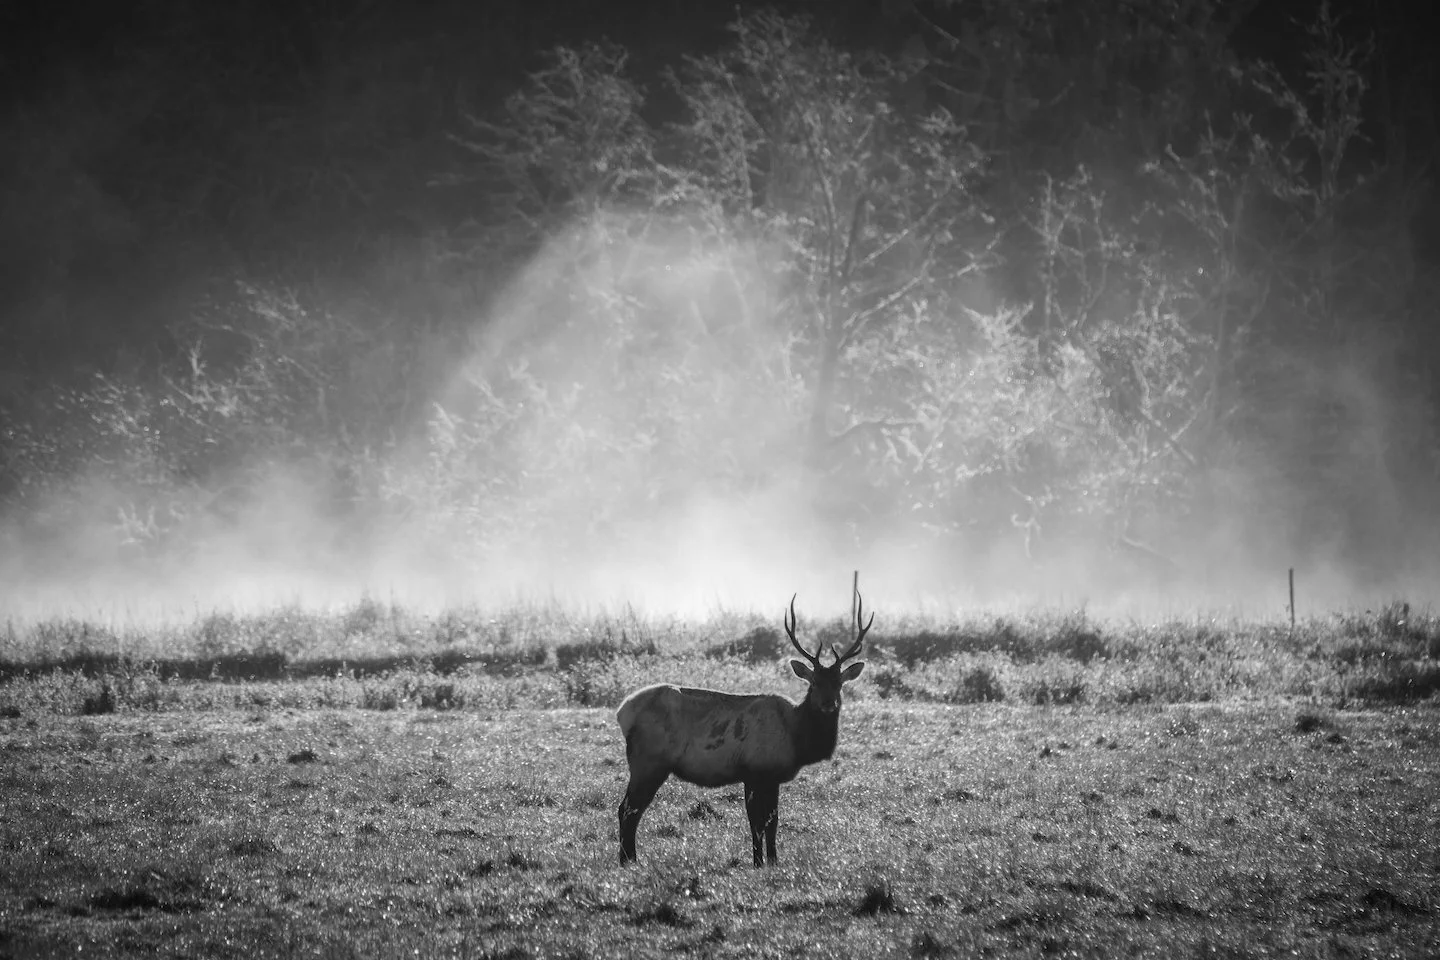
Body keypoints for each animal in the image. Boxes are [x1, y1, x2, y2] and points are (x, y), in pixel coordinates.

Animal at [615, 592, 872, 867]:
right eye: (813, 683)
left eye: (839, 684)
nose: (828, 703)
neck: (797, 739)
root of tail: (622, 712)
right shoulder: (757, 770)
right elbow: (758, 822)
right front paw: (760, 862)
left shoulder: (769, 777)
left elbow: (772, 821)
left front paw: (772, 860)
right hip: (649, 761)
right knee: (628, 809)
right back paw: (628, 860)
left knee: (630, 809)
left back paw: (629, 859)